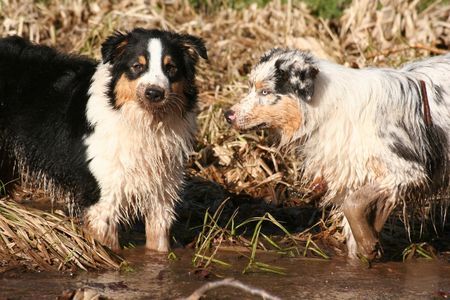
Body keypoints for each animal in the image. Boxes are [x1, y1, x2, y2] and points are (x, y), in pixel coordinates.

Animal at [0, 29, 207, 252]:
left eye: (171, 68)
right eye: (137, 66)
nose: (154, 93)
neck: (145, 123)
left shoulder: (162, 194)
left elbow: (159, 243)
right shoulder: (102, 198)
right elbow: (109, 245)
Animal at [227, 49, 450, 260]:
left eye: (266, 91)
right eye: (250, 87)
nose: (227, 115)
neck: (329, 108)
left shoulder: (407, 171)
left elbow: (353, 205)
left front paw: (369, 245)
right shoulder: (351, 174)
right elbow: (352, 226)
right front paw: (363, 254)